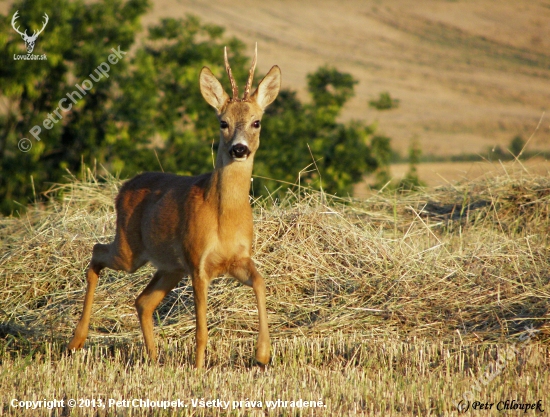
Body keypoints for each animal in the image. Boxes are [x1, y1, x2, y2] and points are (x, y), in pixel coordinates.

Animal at [69, 45, 282, 368]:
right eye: (223, 122)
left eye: (257, 122)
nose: (239, 148)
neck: (224, 217)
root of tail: (124, 187)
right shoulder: (197, 262)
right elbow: (201, 330)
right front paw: (197, 368)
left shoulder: (237, 258)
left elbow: (260, 282)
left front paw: (262, 353)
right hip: (130, 250)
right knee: (96, 252)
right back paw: (76, 341)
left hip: (170, 266)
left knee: (143, 301)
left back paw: (154, 358)